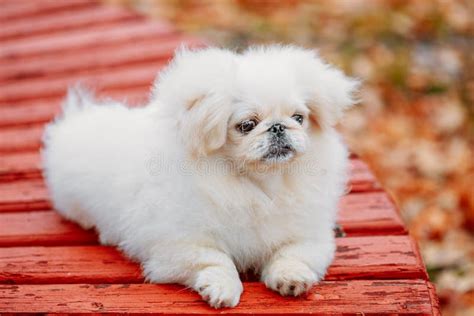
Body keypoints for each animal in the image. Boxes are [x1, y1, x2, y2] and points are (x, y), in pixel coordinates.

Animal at [41, 45, 360, 308]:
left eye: (298, 118)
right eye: (247, 125)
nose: (278, 127)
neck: (258, 185)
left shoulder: (309, 235)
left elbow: (292, 254)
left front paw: (291, 278)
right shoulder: (180, 245)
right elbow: (217, 260)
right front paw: (222, 289)